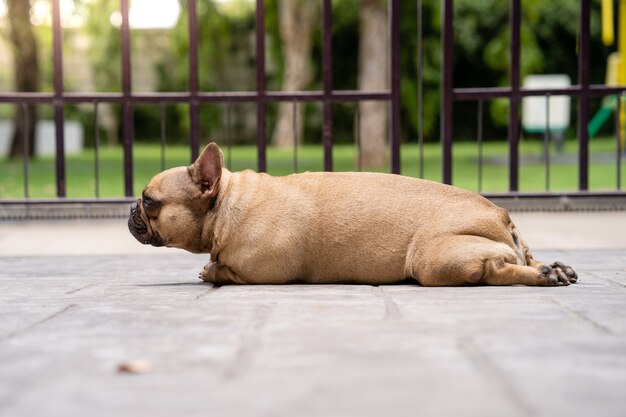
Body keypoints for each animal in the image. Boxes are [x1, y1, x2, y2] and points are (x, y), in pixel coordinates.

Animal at [127, 143, 576, 286]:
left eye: (149, 201)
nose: (131, 207)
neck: (224, 204)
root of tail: (500, 215)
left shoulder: (259, 272)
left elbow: (219, 271)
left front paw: (210, 270)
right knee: (523, 256)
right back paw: (556, 267)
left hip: (433, 258)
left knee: (494, 269)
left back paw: (541, 276)